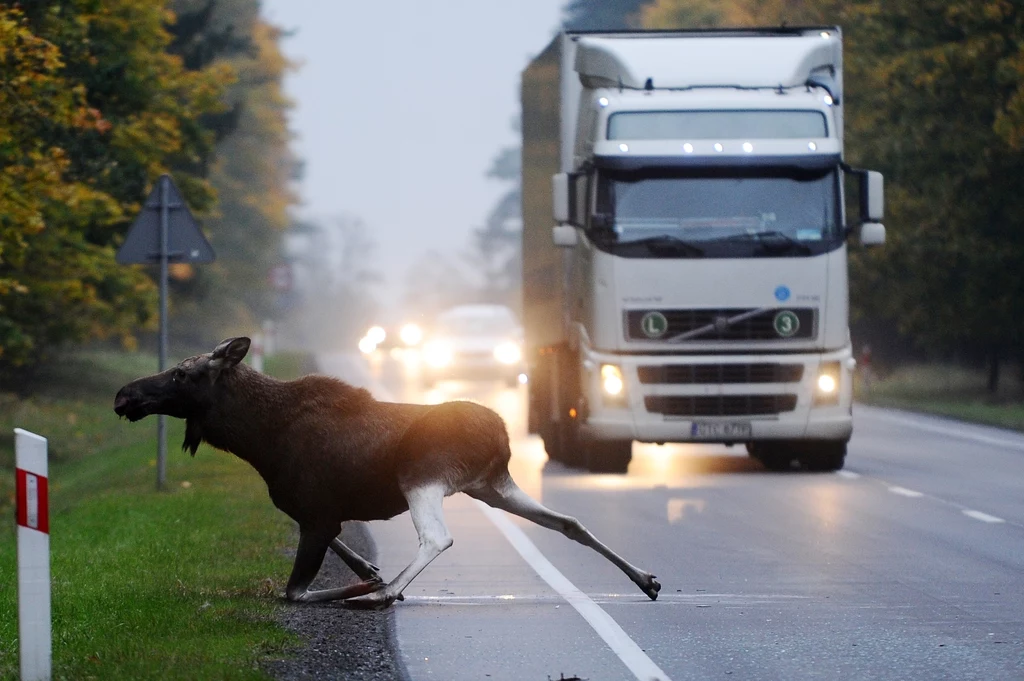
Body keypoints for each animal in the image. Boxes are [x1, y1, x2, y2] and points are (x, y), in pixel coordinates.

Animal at [110, 337, 655, 606]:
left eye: (182, 373)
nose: (124, 394)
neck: (256, 441)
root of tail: (500, 432)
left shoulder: (317, 512)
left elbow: (295, 591)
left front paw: (368, 582)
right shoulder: (315, 512)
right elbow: (337, 549)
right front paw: (367, 571)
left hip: (423, 475)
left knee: (438, 537)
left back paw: (386, 592)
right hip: (491, 484)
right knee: (568, 522)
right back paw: (645, 578)